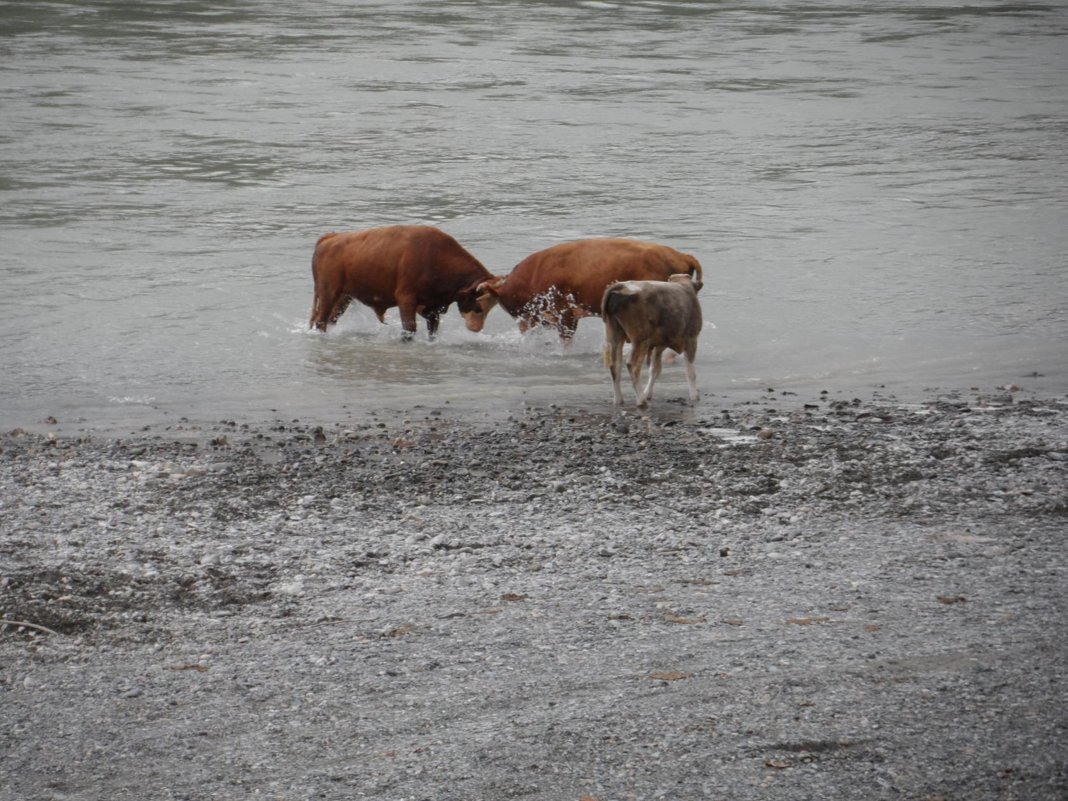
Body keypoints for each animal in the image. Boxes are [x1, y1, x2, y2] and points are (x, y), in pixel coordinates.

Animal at [307, 226, 493, 339]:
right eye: (478, 306)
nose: (476, 328)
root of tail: (329, 238)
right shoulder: (406, 300)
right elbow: (409, 330)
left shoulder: (430, 308)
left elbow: (432, 330)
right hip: (328, 293)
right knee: (321, 320)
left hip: (344, 296)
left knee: (331, 318)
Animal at [602, 275, 700, 410]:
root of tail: (621, 286)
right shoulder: (691, 339)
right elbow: (690, 371)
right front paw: (694, 396)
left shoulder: (659, 345)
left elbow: (655, 369)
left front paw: (647, 392)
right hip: (640, 340)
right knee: (632, 365)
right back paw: (641, 401)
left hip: (615, 335)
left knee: (614, 365)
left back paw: (618, 400)